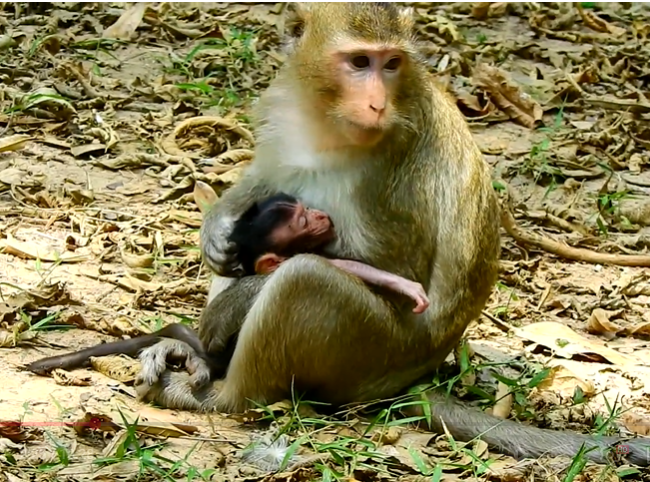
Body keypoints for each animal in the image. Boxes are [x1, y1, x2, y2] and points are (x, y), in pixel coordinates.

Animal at [60, 3, 650, 467]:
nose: (376, 102)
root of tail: (412, 379)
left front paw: (227, 308)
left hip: (369, 350)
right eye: (359, 62)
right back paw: (201, 356)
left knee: (302, 280)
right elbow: (259, 190)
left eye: (390, 64)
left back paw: (219, 393)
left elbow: (394, 272)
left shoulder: (396, 159)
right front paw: (217, 225)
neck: (325, 119)